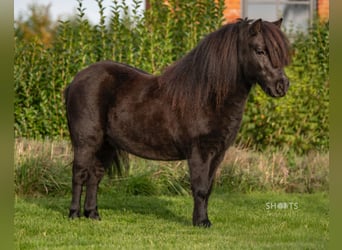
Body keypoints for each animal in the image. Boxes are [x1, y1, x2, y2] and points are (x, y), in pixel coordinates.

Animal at [65, 18, 292, 228]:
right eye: (260, 51)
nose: (282, 86)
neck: (207, 96)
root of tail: (76, 80)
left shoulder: (218, 153)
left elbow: (208, 188)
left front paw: (202, 220)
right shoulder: (199, 152)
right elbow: (200, 188)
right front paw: (201, 222)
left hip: (106, 144)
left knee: (95, 175)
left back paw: (93, 214)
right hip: (86, 142)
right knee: (79, 173)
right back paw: (74, 214)